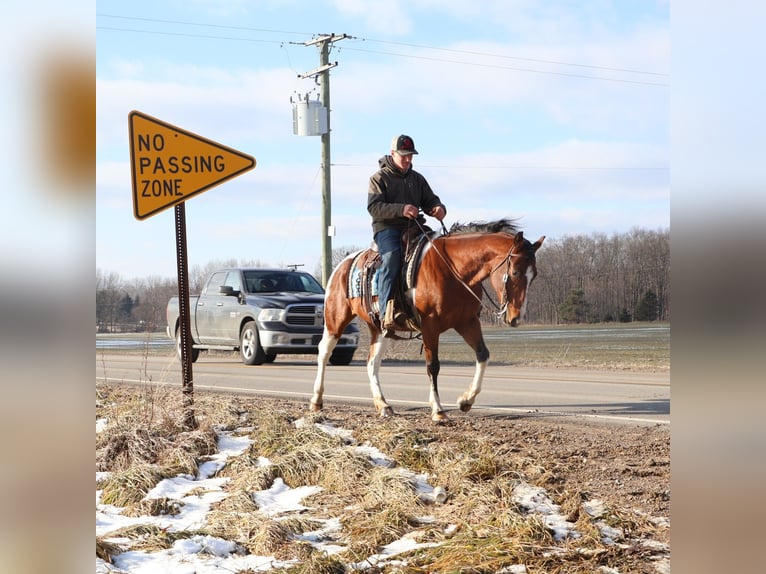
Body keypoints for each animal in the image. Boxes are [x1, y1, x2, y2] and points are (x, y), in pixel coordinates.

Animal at [311, 218, 545, 422]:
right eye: (515, 272)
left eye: (534, 275)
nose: (516, 317)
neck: (454, 270)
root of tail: (343, 264)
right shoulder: (430, 325)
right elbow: (433, 366)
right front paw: (438, 411)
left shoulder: (467, 322)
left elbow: (483, 355)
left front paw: (466, 401)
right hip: (335, 319)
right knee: (324, 352)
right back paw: (316, 400)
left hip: (379, 328)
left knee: (372, 362)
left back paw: (383, 405)